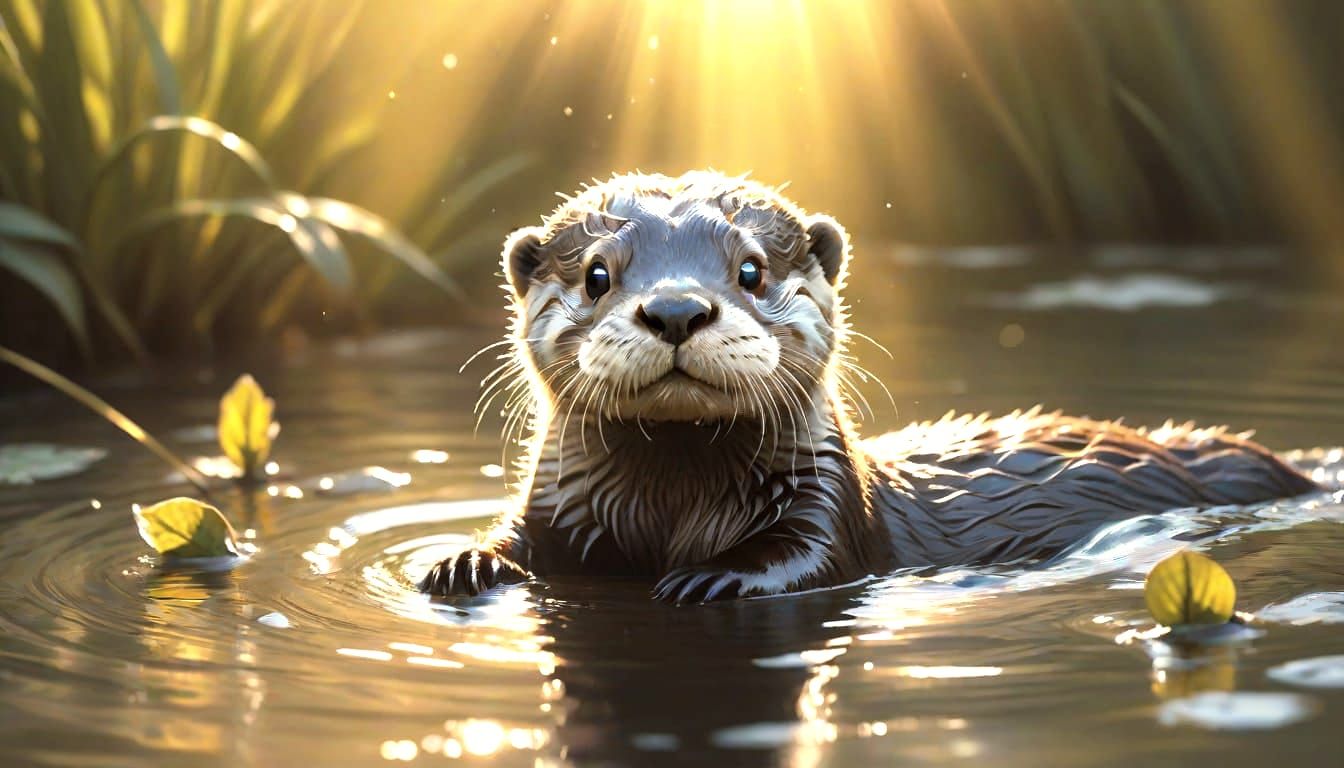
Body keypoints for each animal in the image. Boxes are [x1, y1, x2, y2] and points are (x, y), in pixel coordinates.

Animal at [419, 170, 1317, 603]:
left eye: (751, 269)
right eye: (599, 274)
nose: (676, 308)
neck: (667, 507)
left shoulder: (826, 506)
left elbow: (806, 558)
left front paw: (718, 575)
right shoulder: (556, 509)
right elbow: (515, 538)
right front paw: (460, 559)